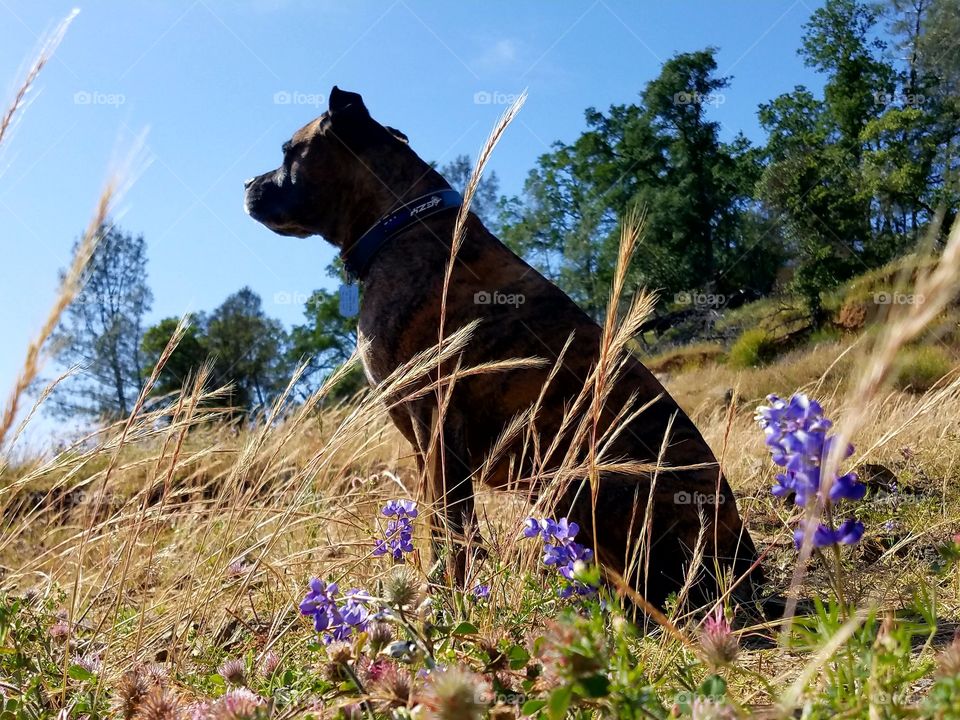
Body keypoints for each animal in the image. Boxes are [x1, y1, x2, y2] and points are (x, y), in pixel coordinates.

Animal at [248, 87, 764, 612]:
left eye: (290, 152)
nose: (249, 183)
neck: (399, 225)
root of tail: (743, 553)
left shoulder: (436, 424)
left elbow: (449, 531)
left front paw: (444, 597)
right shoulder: (425, 443)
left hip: (587, 481)